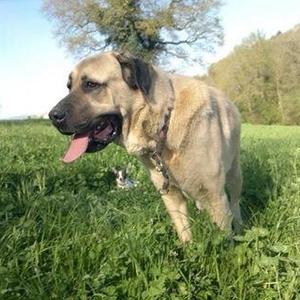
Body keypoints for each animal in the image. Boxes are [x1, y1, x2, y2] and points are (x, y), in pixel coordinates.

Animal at [48, 51, 241, 243]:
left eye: (90, 84)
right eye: (69, 87)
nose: (52, 116)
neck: (164, 123)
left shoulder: (216, 196)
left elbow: (224, 240)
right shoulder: (172, 197)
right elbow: (185, 233)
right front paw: (189, 248)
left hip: (234, 174)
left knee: (235, 202)